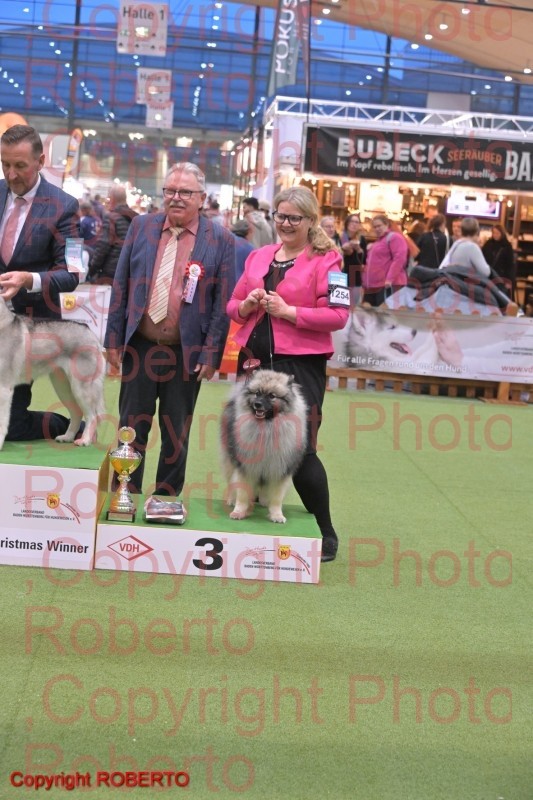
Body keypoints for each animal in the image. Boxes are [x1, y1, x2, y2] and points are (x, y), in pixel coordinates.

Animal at [0, 298, 105, 450]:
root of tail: (88, 330)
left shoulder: (4, 388)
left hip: (81, 388)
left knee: (92, 415)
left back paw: (85, 439)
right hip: (63, 388)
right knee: (77, 412)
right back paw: (68, 437)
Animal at [220, 369, 308, 524]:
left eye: (272, 396)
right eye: (257, 393)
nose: (257, 404)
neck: (267, 428)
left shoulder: (278, 469)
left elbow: (277, 498)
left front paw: (277, 515)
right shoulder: (246, 467)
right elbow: (242, 494)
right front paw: (238, 512)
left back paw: (264, 502)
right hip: (230, 460)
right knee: (231, 481)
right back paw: (231, 500)